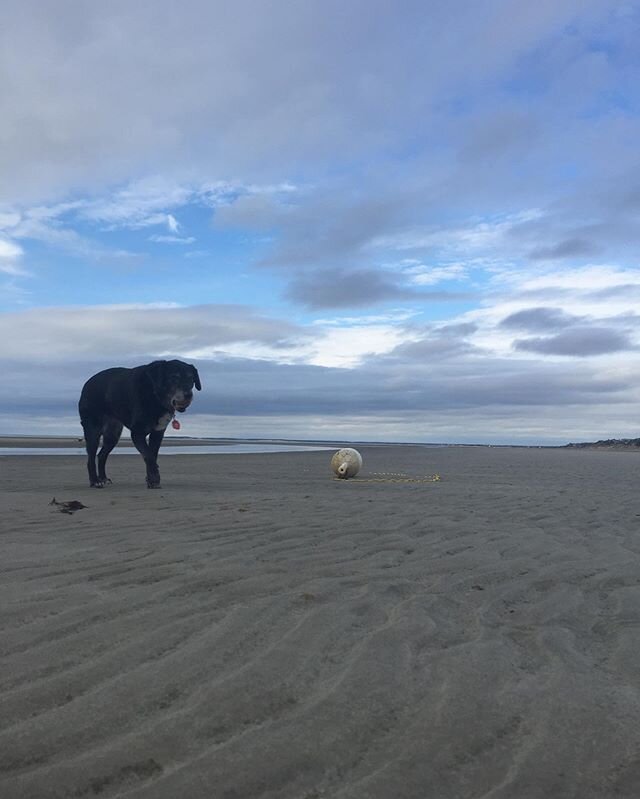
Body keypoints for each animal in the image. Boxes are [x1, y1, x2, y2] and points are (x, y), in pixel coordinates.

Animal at [79, 360, 201, 488]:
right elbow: (149, 456)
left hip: (113, 434)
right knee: (91, 457)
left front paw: (150, 480)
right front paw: (154, 479)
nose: (188, 395)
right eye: (174, 377)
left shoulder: (157, 433)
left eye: (191, 379)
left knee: (102, 455)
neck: (155, 396)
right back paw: (95, 481)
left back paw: (103, 478)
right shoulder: (137, 433)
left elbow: (153, 454)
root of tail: (86, 385)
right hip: (93, 429)